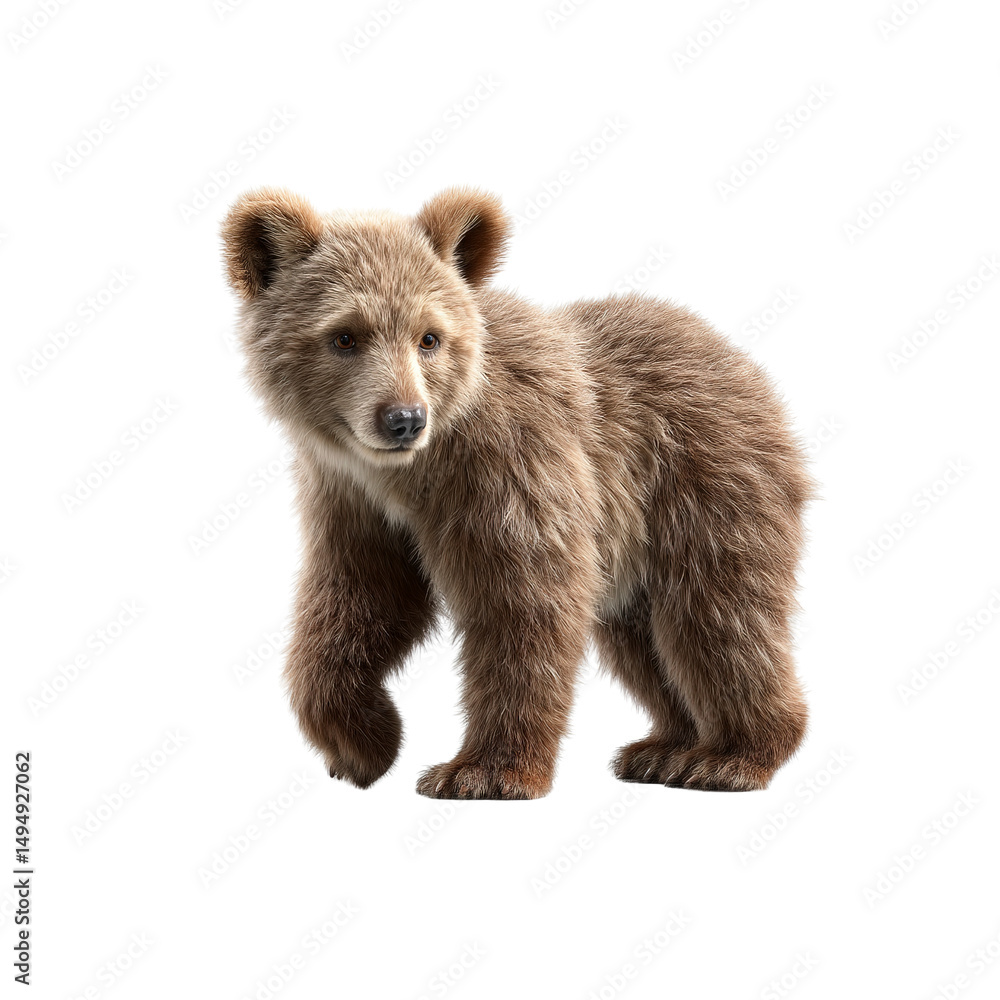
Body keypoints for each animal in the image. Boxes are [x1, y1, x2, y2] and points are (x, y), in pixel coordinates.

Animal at [221, 186, 811, 799]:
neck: (417, 469)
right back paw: (663, 748)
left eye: (429, 337)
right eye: (344, 336)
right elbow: (357, 602)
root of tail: (745, 365)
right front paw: (363, 743)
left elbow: (523, 604)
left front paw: (481, 771)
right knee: (642, 637)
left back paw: (730, 757)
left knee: (719, 617)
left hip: (706, 484)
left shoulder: (513, 471)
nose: (403, 419)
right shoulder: (351, 500)